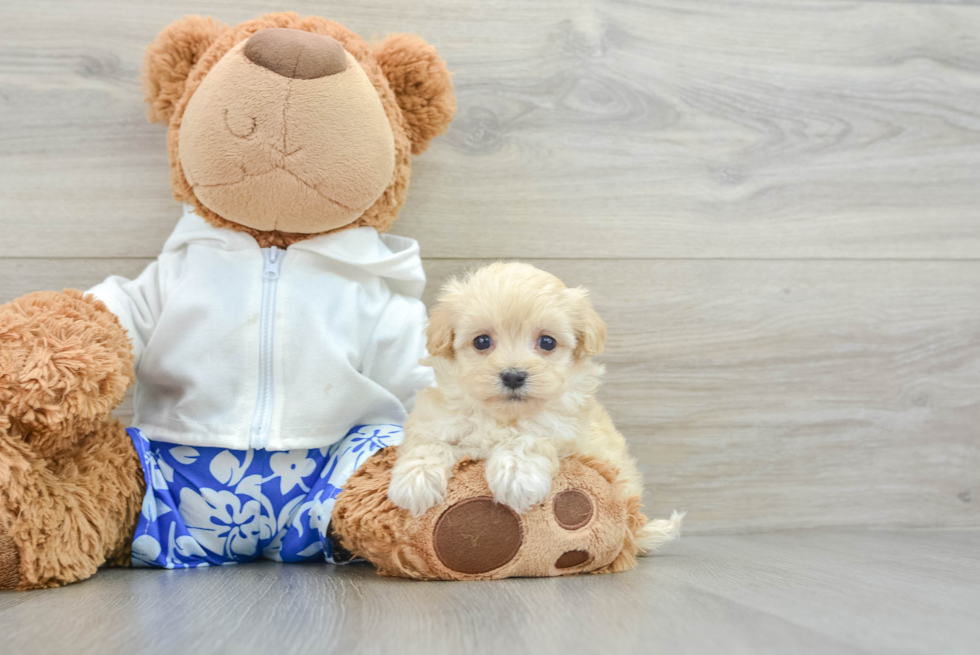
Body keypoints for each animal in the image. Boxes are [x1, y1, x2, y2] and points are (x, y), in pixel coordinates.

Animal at [388, 264, 680, 556]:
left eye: (547, 342)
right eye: (481, 341)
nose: (513, 376)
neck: (503, 417)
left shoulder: (565, 429)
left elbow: (529, 437)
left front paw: (516, 475)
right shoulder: (436, 418)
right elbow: (429, 443)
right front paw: (416, 480)